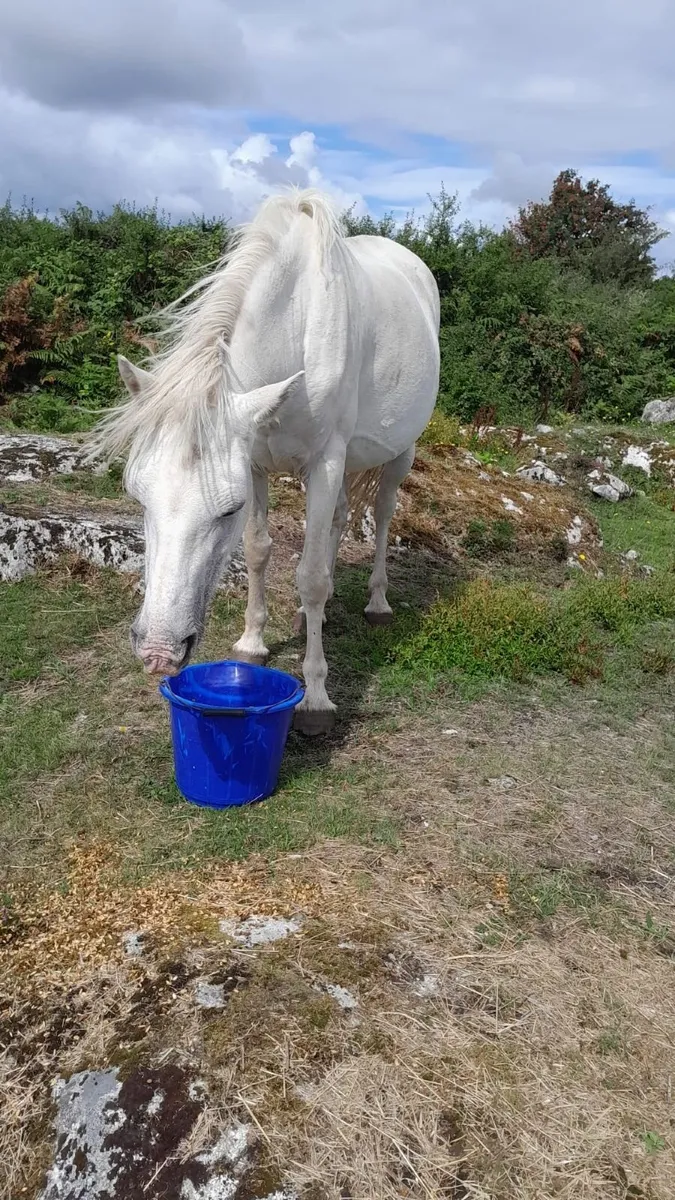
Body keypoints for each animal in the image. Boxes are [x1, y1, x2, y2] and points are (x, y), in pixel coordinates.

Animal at [92, 189, 440, 735]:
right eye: (138, 497)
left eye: (227, 510)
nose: (158, 653)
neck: (298, 321)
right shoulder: (255, 463)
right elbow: (258, 551)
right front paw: (252, 643)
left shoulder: (324, 461)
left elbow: (311, 575)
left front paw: (316, 697)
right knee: (340, 520)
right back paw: (313, 614)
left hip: (399, 452)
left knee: (382, 515)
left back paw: (377, 602)